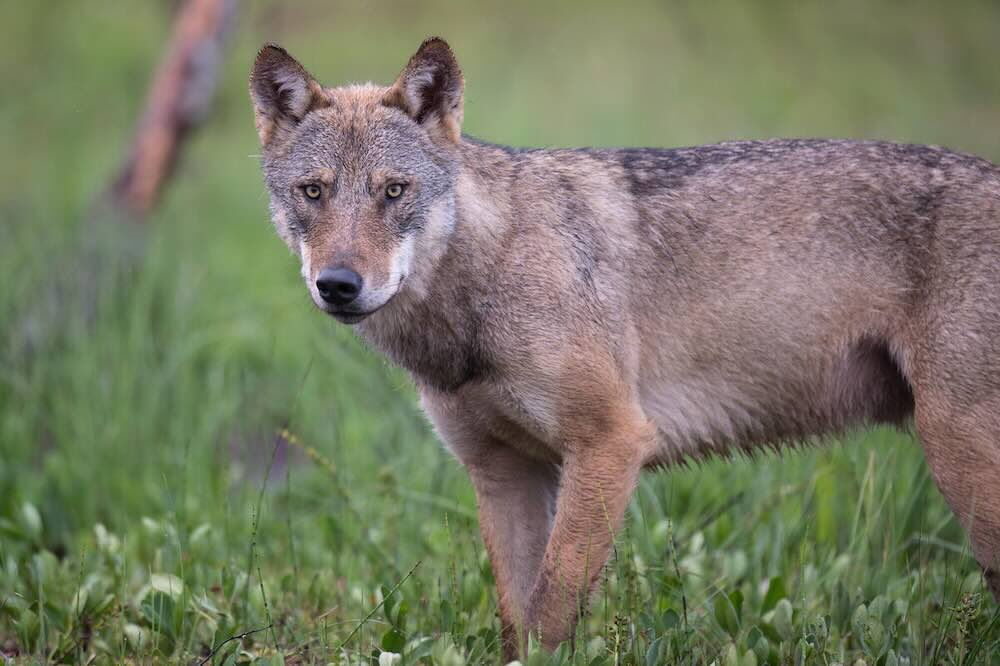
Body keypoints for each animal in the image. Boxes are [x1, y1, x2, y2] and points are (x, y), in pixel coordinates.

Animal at [250, 37, 1000, 658]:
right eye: (312, 192)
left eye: (393, 191)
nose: (338, 285)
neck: (492, 269)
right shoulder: (502, 473)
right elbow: (517, 619)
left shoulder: (611, 442)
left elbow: (551, 613)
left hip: (960, 459)